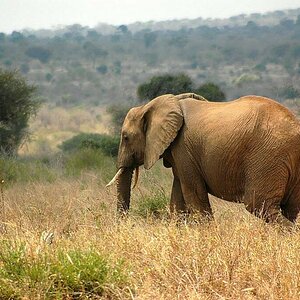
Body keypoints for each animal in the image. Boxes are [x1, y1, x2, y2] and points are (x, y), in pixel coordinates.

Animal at [107, 92, 300, 226]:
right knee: (291, 209)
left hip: (268, 156)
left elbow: (195, 196)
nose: (125, 225)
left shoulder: (183, 147)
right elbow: (178, 200)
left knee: (260, 205)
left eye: (125, 137)